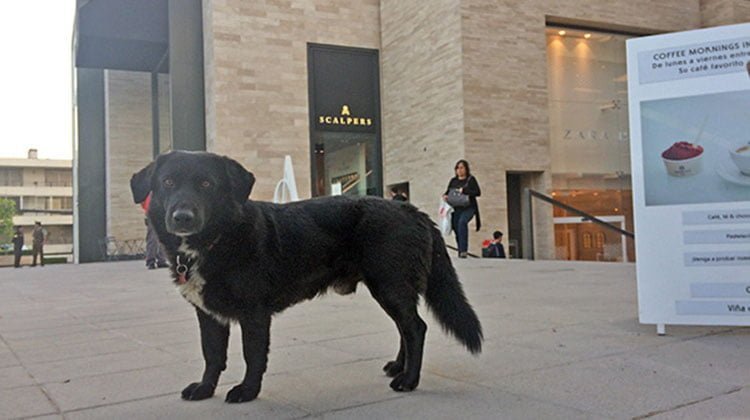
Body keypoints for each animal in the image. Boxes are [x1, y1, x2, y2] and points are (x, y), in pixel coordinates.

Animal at [130, 151, 484, 404]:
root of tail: (412, 210)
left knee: (415, 328)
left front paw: (247, 391)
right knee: (405, 328)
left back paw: (408, 380)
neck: (216, 240)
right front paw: (205, 389)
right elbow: (212, 355)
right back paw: (398, 367)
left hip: (390, 284)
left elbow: (252, 355)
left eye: (207, 185)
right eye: (168, 183)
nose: (182, 217)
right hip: (388, 288)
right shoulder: (208, 315)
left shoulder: (254, 314)